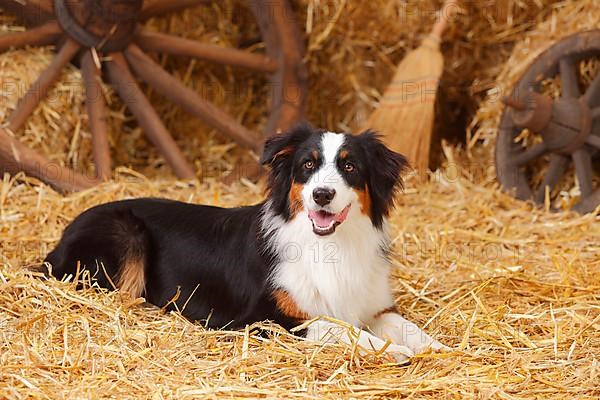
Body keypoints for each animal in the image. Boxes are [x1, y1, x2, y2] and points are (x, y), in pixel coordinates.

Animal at [45, 125, 446, 362]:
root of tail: (63, 235)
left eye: (350, 167)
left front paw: (436, 347)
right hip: (126, 232)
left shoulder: (375, 306)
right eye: (308, 165)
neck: (330, 245)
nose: (322, 194)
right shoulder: (261, 318)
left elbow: (406, 327)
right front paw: (391, 350)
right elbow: (337, 327)